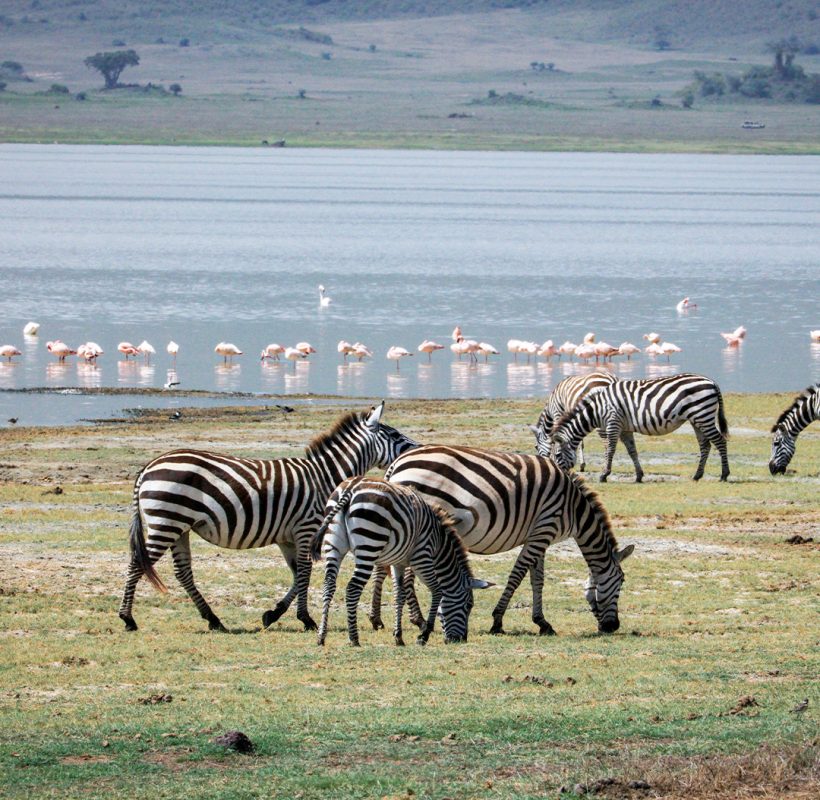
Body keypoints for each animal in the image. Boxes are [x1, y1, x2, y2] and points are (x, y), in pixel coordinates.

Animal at [117, 404, 416, 636]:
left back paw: (213, 620)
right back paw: (128, 619)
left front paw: (273, 614)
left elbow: (297, 574)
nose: (416, 448)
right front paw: (305, 619)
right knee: (137, 564)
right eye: (394, 434)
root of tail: (148, 466)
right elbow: (305, 573)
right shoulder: (306, 528)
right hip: (167, 522)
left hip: (179, 527)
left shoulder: (287, 537)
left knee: (182, 572)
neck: (324, 476)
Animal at [310, 478, 490, 648]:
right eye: (468, 606)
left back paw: (321, 636)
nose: (461, 640)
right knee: (353, 588)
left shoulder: (398, 563)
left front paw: (399, 637)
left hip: (333, 545)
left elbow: (399, 595)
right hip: (369, 545)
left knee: (329, 585)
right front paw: (424, 635)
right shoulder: (422, 558)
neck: (439, 544)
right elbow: (437, 591)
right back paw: (354, 638)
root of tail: (351, 488)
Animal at [382, 444, 636, 636]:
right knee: (408, 574)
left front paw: (542, 622)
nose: (613, 627)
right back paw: (420, 621)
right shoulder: (545, 528)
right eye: (622, 581)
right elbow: (517, 575)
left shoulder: (539, 535)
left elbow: (537, 579)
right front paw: (497, 621)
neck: (575, 509)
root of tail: (398, 462)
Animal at [544, 374, 732, 482]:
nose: (557, 475)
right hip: (697, 419)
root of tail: (712, 382)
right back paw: (697, 475)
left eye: (557, 455)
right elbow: (632, 451)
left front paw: (604, 474)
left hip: (703, 415)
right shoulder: (625, 428)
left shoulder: (613, 422)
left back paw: (724, 475)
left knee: (720, 441)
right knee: (705, 445)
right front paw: (639, 475)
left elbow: (610, 450)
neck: (597, 409)